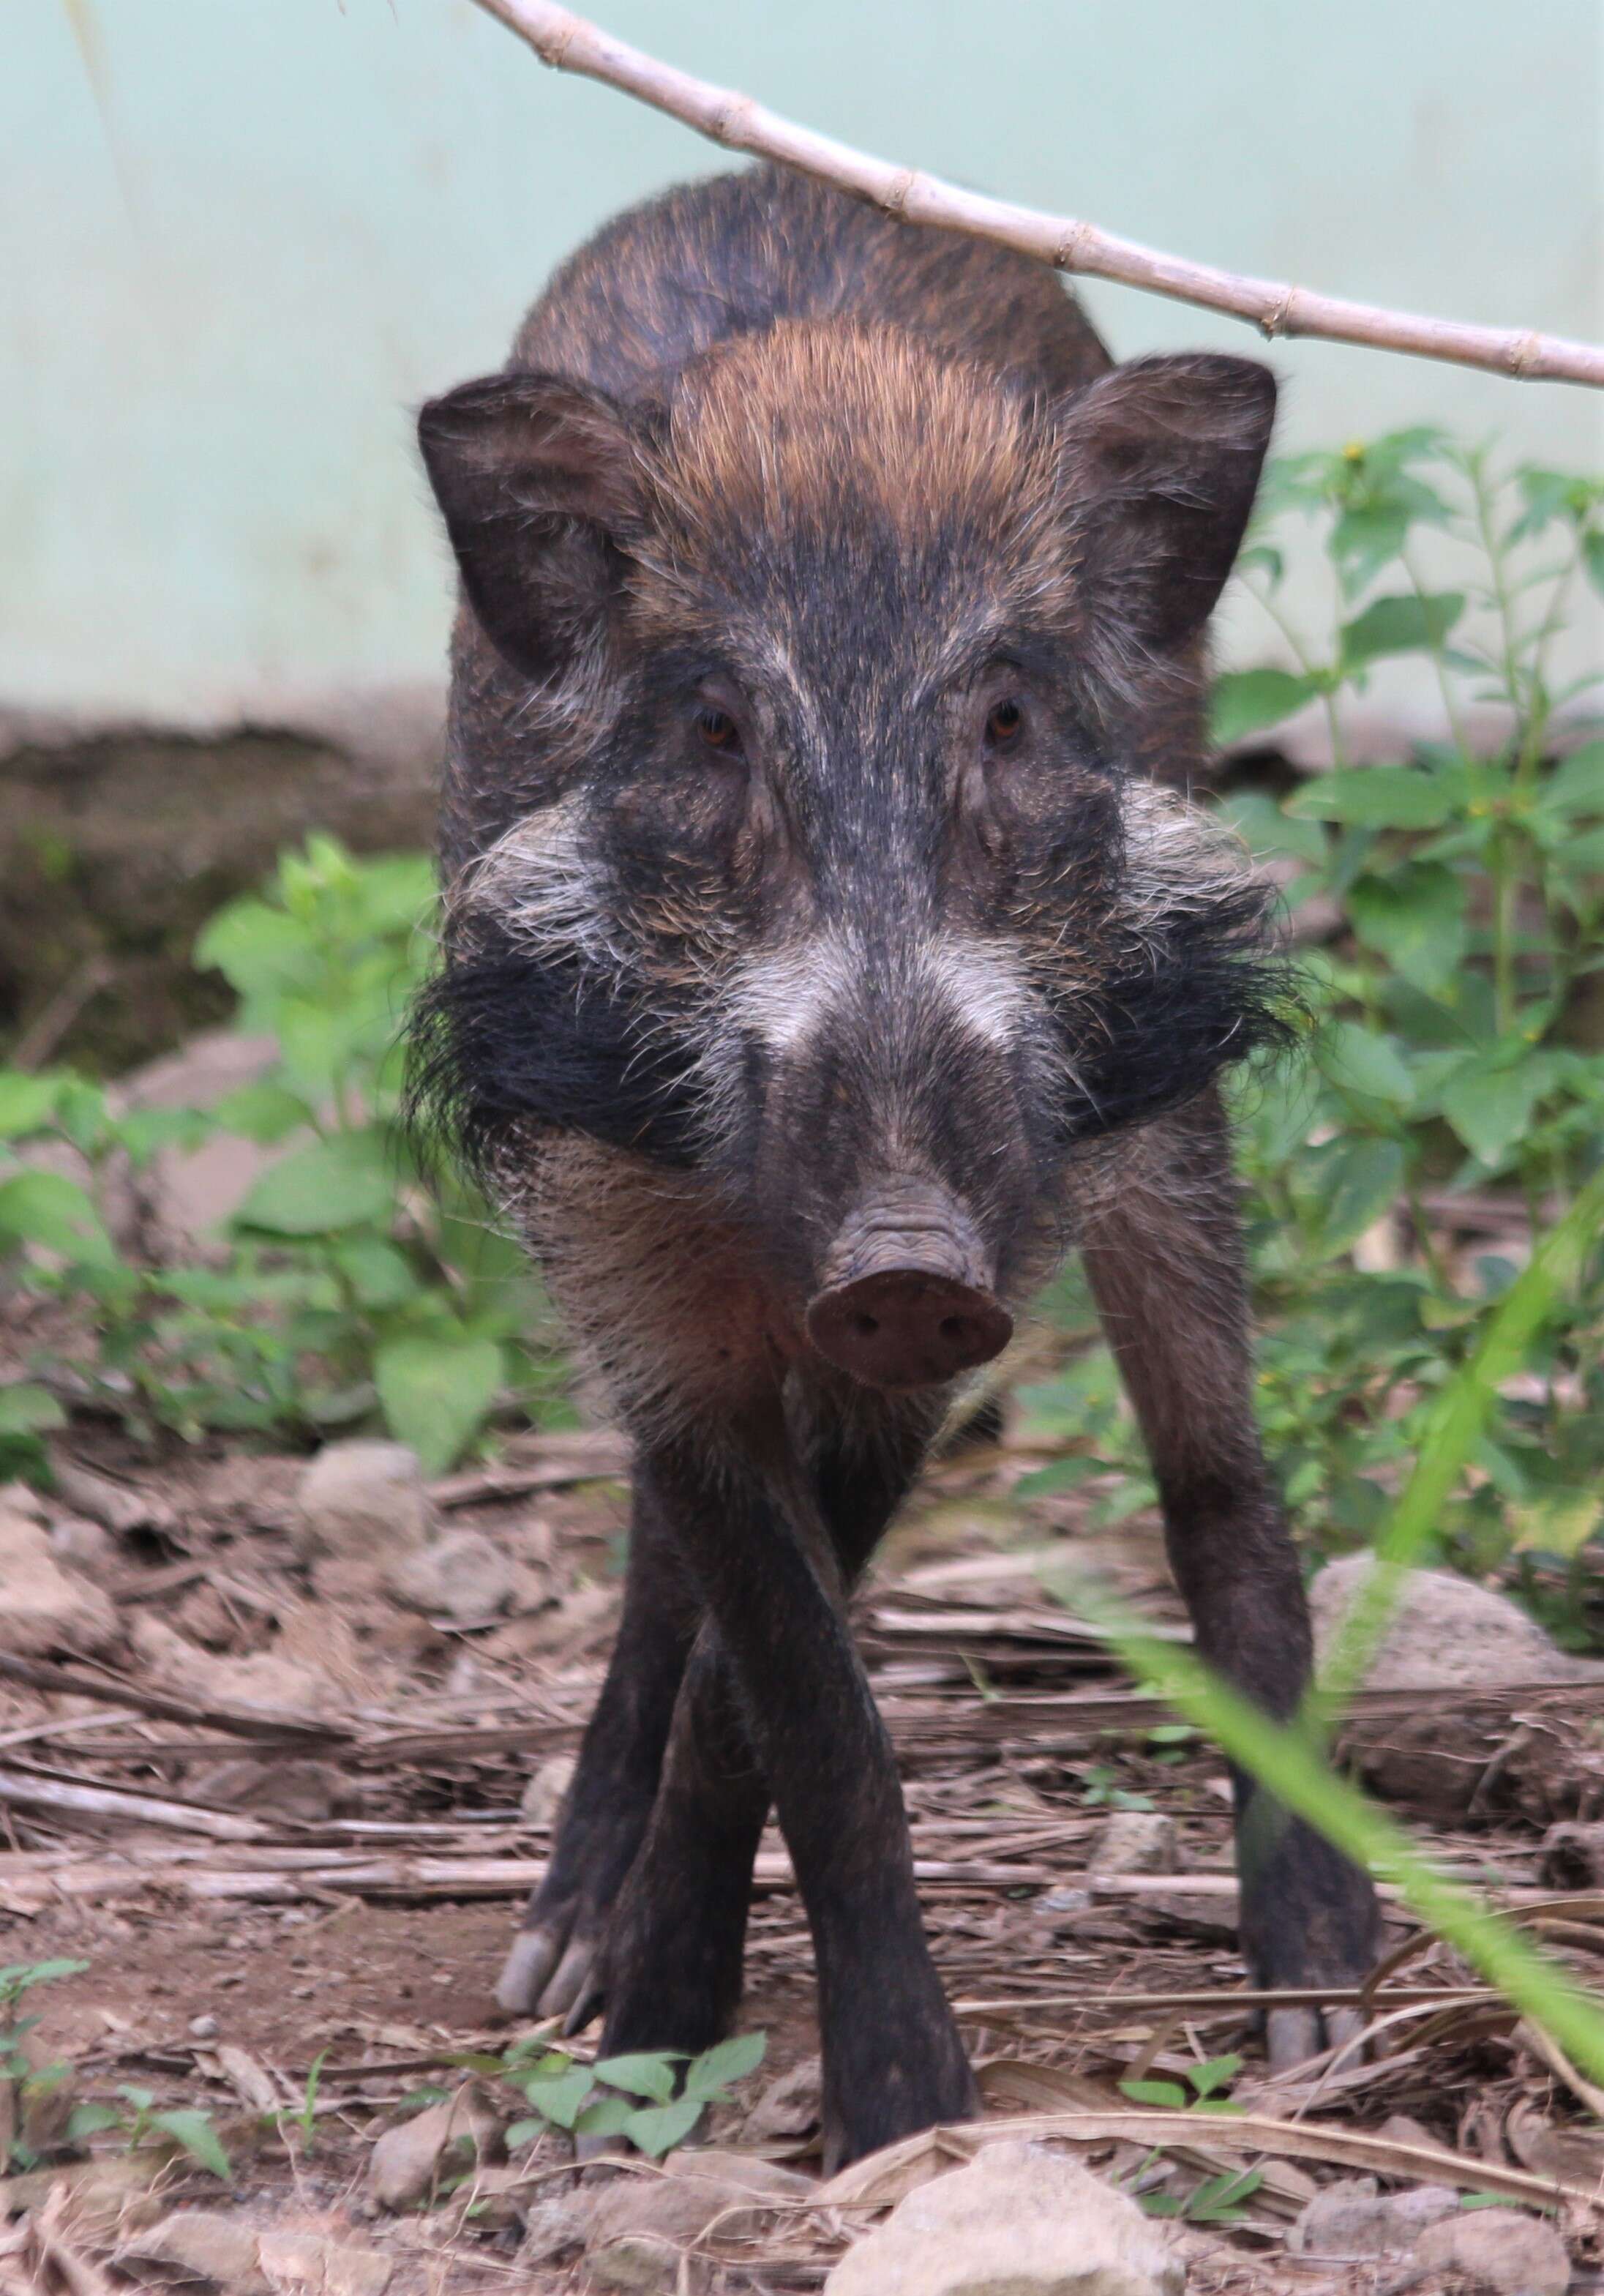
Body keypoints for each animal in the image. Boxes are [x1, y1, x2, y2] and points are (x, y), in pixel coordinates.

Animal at [413, 166, 1376, 2167]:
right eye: (712, 726)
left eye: (1003, 718)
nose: (904, 1253)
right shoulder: (624, 1259)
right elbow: (788, 1674)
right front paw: (685, 2053)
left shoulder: (966, 1300)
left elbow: (774, 1679)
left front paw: (866, 2116)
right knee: (651, 1562)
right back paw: (550, 1959)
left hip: (1157, 1139)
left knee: (1223, 1486)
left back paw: (1322, 2011)